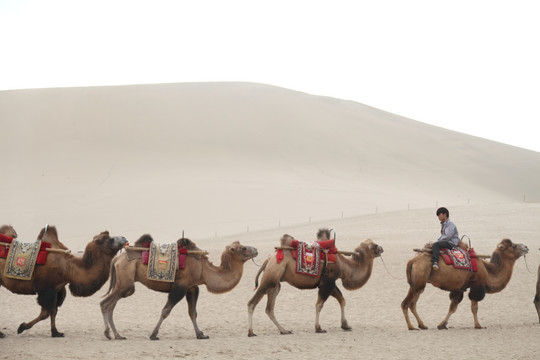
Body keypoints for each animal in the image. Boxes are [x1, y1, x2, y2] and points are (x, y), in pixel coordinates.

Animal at [100, 235, 258, 342]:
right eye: (243, 248)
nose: (256, 249)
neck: (203, 269)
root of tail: (117, 259)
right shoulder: (180, 287)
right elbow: (166, 311)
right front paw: (153, 335)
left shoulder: (192, 287)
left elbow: (193, 313)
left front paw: (200, 334)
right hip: (125, 283)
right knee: (105, 303)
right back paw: (108, 334)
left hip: (122, 284)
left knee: (111, 305)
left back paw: (118, 335)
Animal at [247, 232, 382, 336]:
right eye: (374, 245)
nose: (382, 248)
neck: (344, 266)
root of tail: (269, 259)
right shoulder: (328, 282)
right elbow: (319, 305)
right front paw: (319, 328)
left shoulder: (329, 283)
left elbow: (342, 300)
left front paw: (345, 325)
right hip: (271, 276)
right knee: (252, 303)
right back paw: (251, 332)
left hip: (275, 283)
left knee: (269, 308)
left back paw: (284, 330)